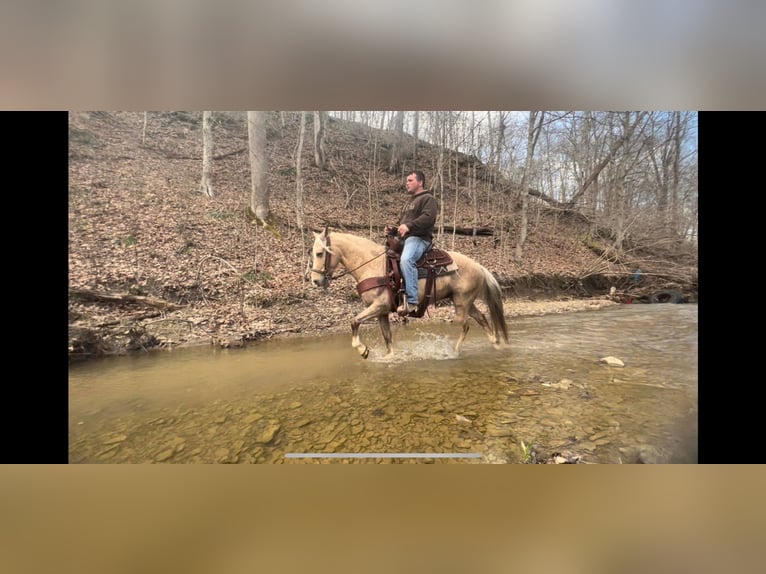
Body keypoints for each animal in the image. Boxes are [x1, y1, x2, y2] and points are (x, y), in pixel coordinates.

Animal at [306, 228, 510, 360]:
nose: (315, 280)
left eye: (319, 253)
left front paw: (362, 350)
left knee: (465, 325)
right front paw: (389, 357)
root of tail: (479, 266)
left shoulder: (379, 306)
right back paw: (496, 344)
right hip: (466, 301)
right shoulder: (381, 312)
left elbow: (354, 321)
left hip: (461, 303)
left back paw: (454, 352)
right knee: (481, 318)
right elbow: (387, 338)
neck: (372, 265)